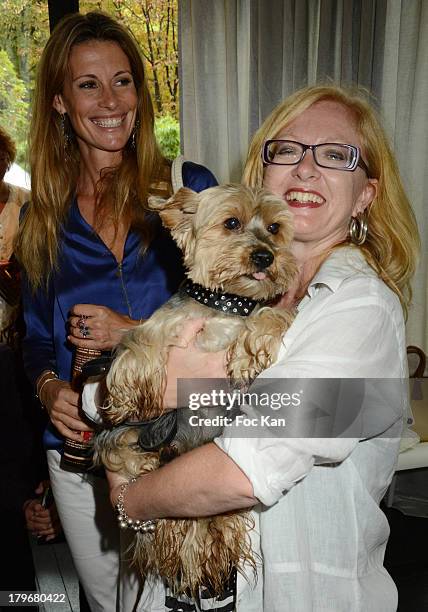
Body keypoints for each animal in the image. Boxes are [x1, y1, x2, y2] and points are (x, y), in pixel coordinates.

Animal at [94, 184, 296, 600]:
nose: (265, 255)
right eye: (231, 222)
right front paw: (127, 393)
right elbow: (137, 341)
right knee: (119, 449)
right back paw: (147, 466)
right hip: (131, 434)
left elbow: (275, 313)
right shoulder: (162, 323)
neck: (225, 305)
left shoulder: (259, 314)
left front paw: (251, 350)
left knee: (210, 523)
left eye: (275, 227)